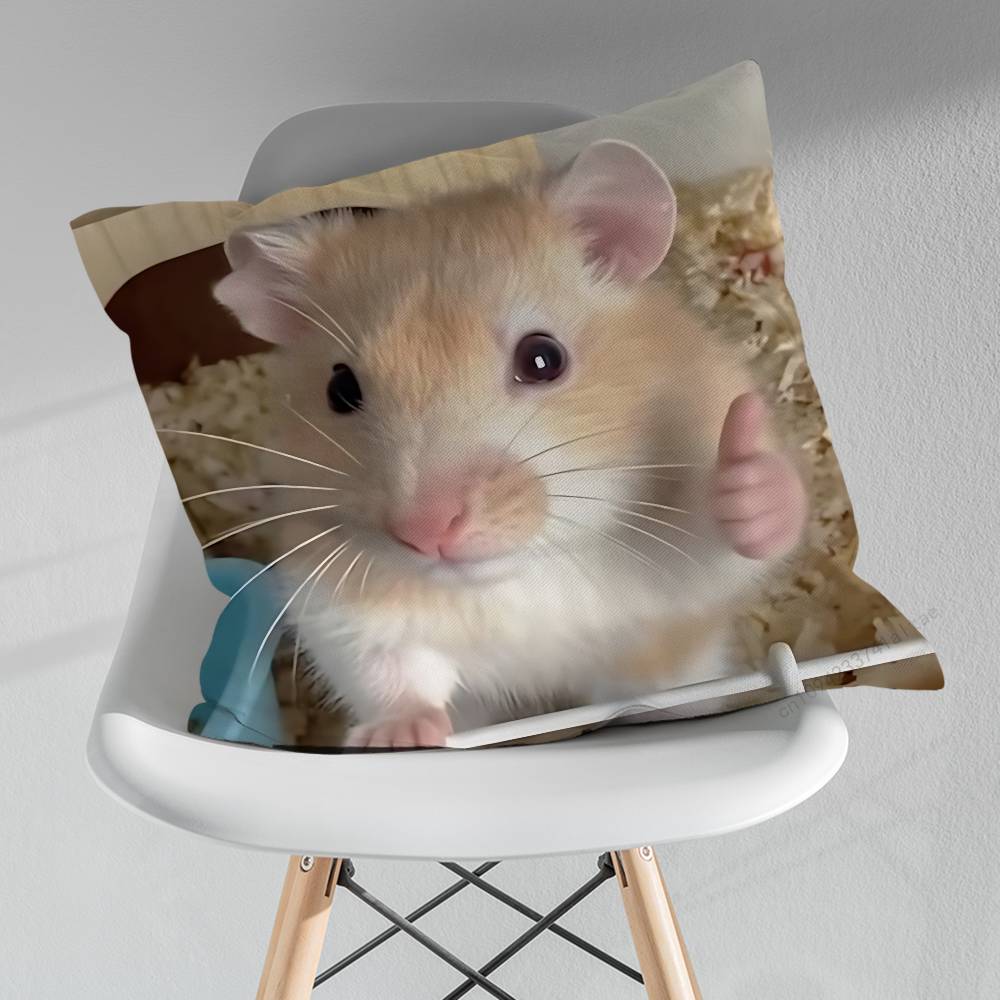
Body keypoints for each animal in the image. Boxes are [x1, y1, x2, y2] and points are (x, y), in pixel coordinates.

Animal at [213, 139, 807, 747]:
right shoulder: (334, 601)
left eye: (543, 359)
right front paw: (396, 738)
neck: (517, 574)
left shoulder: (681, 575)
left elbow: (733, 538)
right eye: (341, 389)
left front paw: (747, 476)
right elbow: (388, 670)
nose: (425, 533)